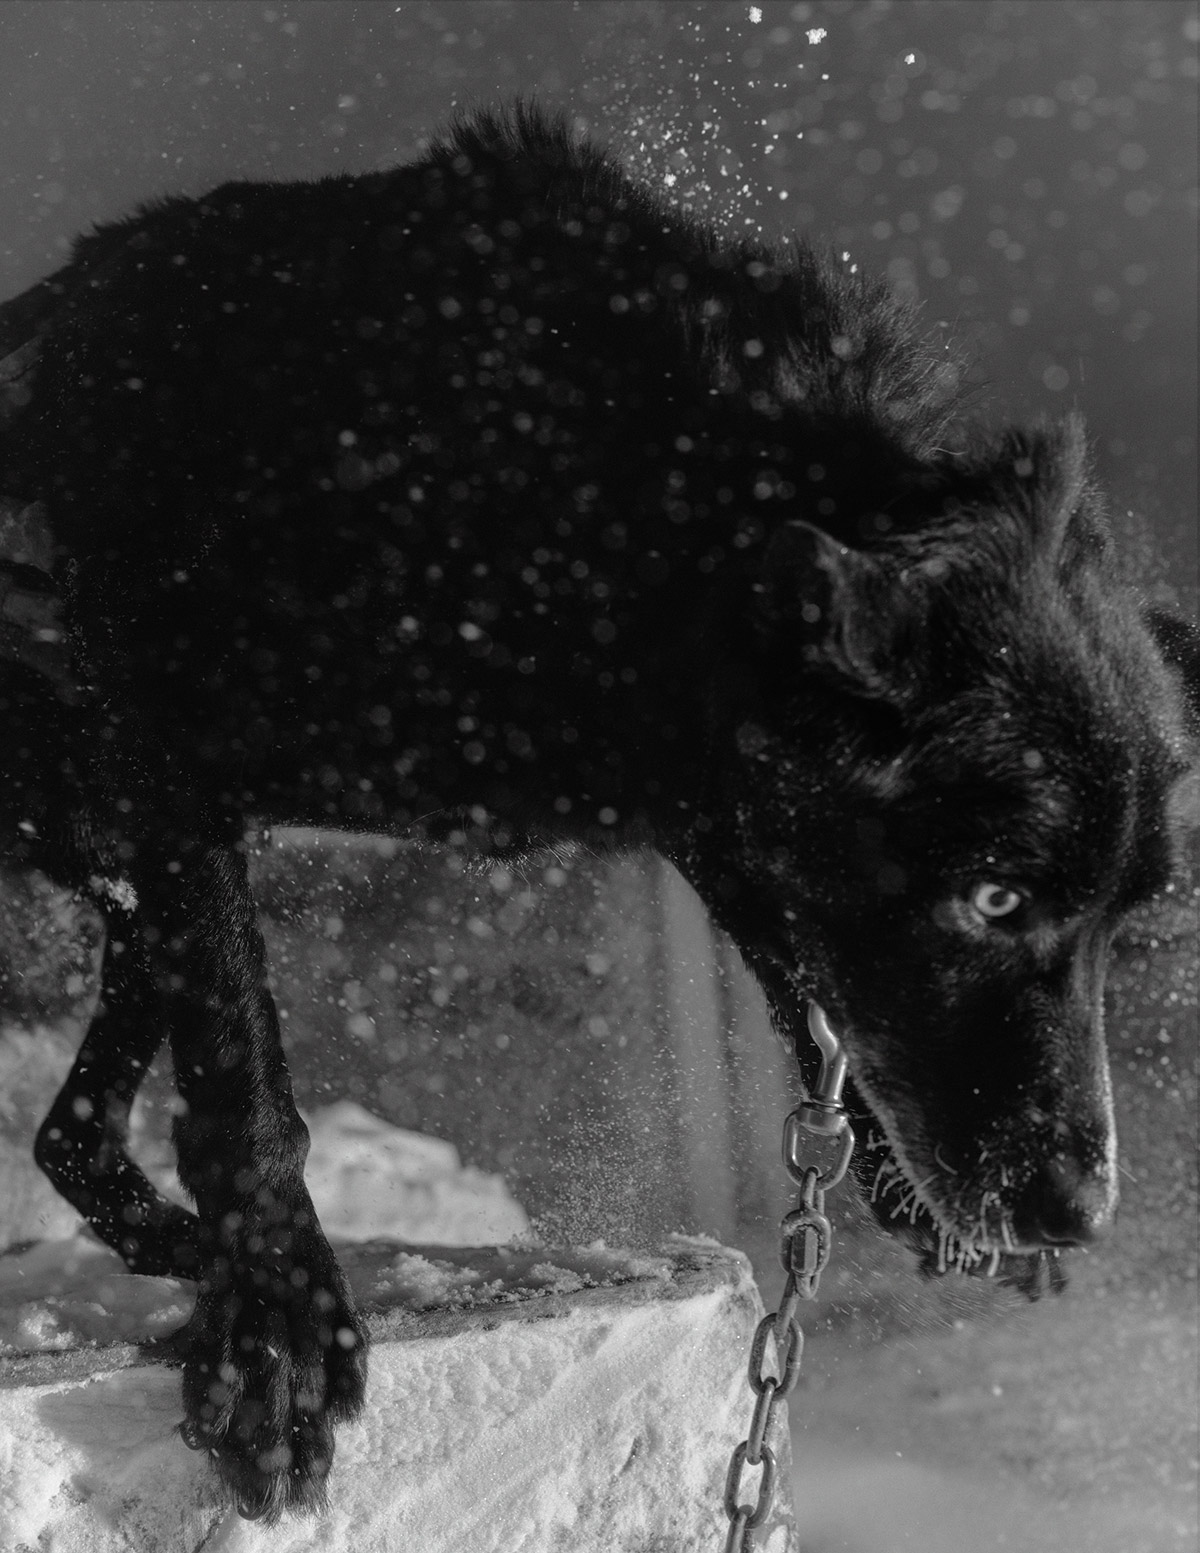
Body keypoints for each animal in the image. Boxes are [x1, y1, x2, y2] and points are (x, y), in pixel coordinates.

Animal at [0, 104, 1195, 1520]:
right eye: (994, 895)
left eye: (1132, 921)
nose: (1081, 1209)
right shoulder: (169, 750)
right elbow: (243, 1059)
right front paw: (278, 1328)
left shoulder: (696, 801)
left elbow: (813, 984)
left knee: (72, 1128)